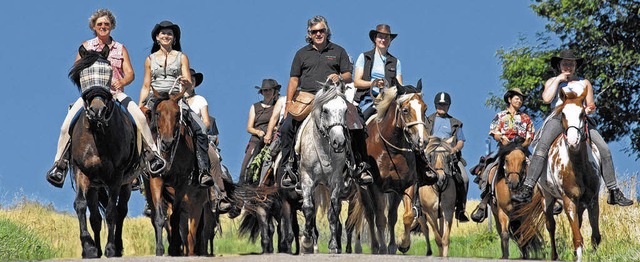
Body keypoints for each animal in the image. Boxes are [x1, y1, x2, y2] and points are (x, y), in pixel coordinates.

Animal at [68, 47, 141, 258]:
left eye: (108, 73)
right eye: (83, 75)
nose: (97, 110)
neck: (98, 134)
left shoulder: (116, 177)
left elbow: (111, 212)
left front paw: (110, 248)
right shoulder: (81, 171)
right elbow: (81, 205)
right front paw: (89, 248)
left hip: (125, 184)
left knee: (121, 211)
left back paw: (117, 247)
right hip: (94, 186)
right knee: (95, 217)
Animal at [142, 88, 210, 256]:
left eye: (177, 114)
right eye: (158, 113)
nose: (167, 142)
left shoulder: (182, 183)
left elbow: (175, 218)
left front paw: (173, 247)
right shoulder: (156, 179)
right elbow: (160, 218)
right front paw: (160, 249)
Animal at [362, 82, 428, 254]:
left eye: (424, 108)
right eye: (405, 110)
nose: (422, 141)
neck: (392, 150)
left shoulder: (406, 185)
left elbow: (406, 216)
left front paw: (403, 244)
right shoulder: (376, 187)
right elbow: (380, 219)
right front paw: (382, 248)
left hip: (393, 192)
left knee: (391, 216)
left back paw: (391, 247)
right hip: (363, 189)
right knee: (370, 215)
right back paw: (376, 247)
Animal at [516, 89, 604, 260]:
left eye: (582, 114)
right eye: (563, 113)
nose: (572, 140)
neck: (578, 166)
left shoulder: (592, 200)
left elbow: (595, 236)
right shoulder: (569, 200)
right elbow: (577, 238)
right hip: (547, 198)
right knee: (551, 225)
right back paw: (554, 256)